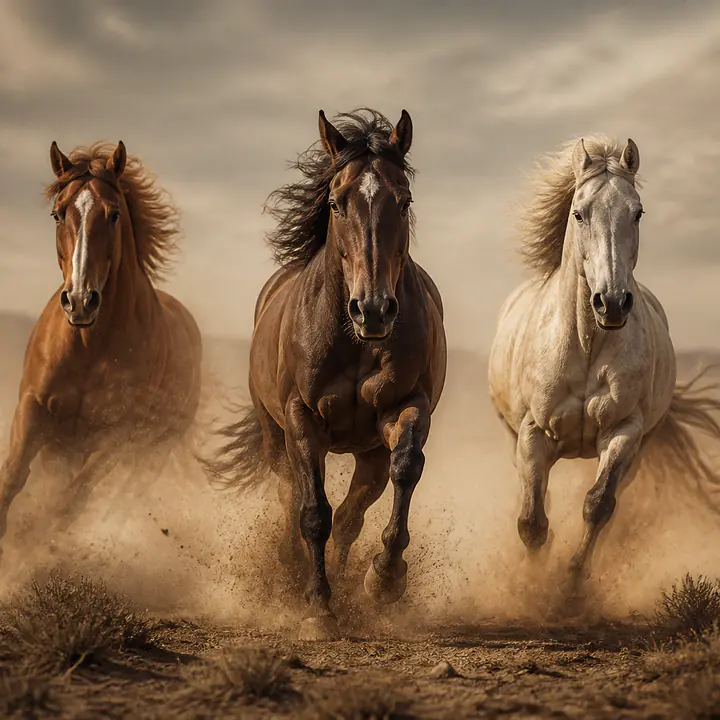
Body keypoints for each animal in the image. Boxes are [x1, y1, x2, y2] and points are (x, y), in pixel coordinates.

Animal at [0, 141, 202, 557]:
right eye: (58, 212)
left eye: (113, 214)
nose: (80, 301)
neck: (88, 347)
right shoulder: (33, 407)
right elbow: (12, 478)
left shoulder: (115, 436)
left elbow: (69, 501)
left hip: (148, 455)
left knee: (115, 501)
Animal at [208, 108, 447, 641]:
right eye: (337, 203)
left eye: (404, 200)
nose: (373, 309)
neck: (354, 341)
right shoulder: (302, 422)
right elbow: (313, 511)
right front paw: (318, 607)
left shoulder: (405, 407)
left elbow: (405, 470)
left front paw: (384, 578)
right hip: (276, 439)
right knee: (291, 495)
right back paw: (295, 572)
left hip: (367, 453)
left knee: (355, 511)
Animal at [488, 135, 720, 609]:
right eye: (579, 213)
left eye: (638, 212)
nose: (611, 303)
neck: (585, 344)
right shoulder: (532, 432)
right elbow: (532, 520)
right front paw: (530, 588)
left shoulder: (624, 432)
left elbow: (598, 505)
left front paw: (571, 585)